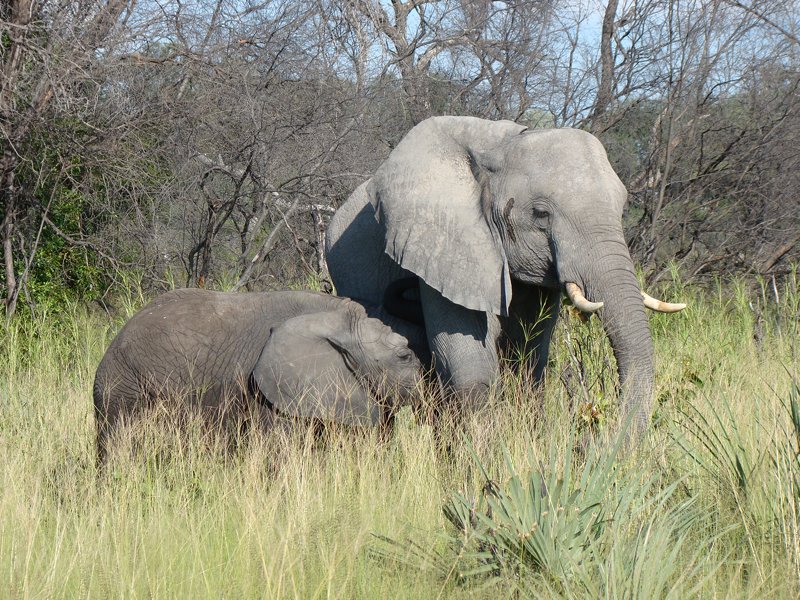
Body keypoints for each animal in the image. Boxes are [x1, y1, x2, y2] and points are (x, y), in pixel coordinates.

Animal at [328, 115, 684, 438]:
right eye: (541, 213)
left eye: (622, 207)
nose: (596, 440)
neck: (501, 150)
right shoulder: (443, 247)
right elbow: (469, 361)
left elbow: (528, 357)